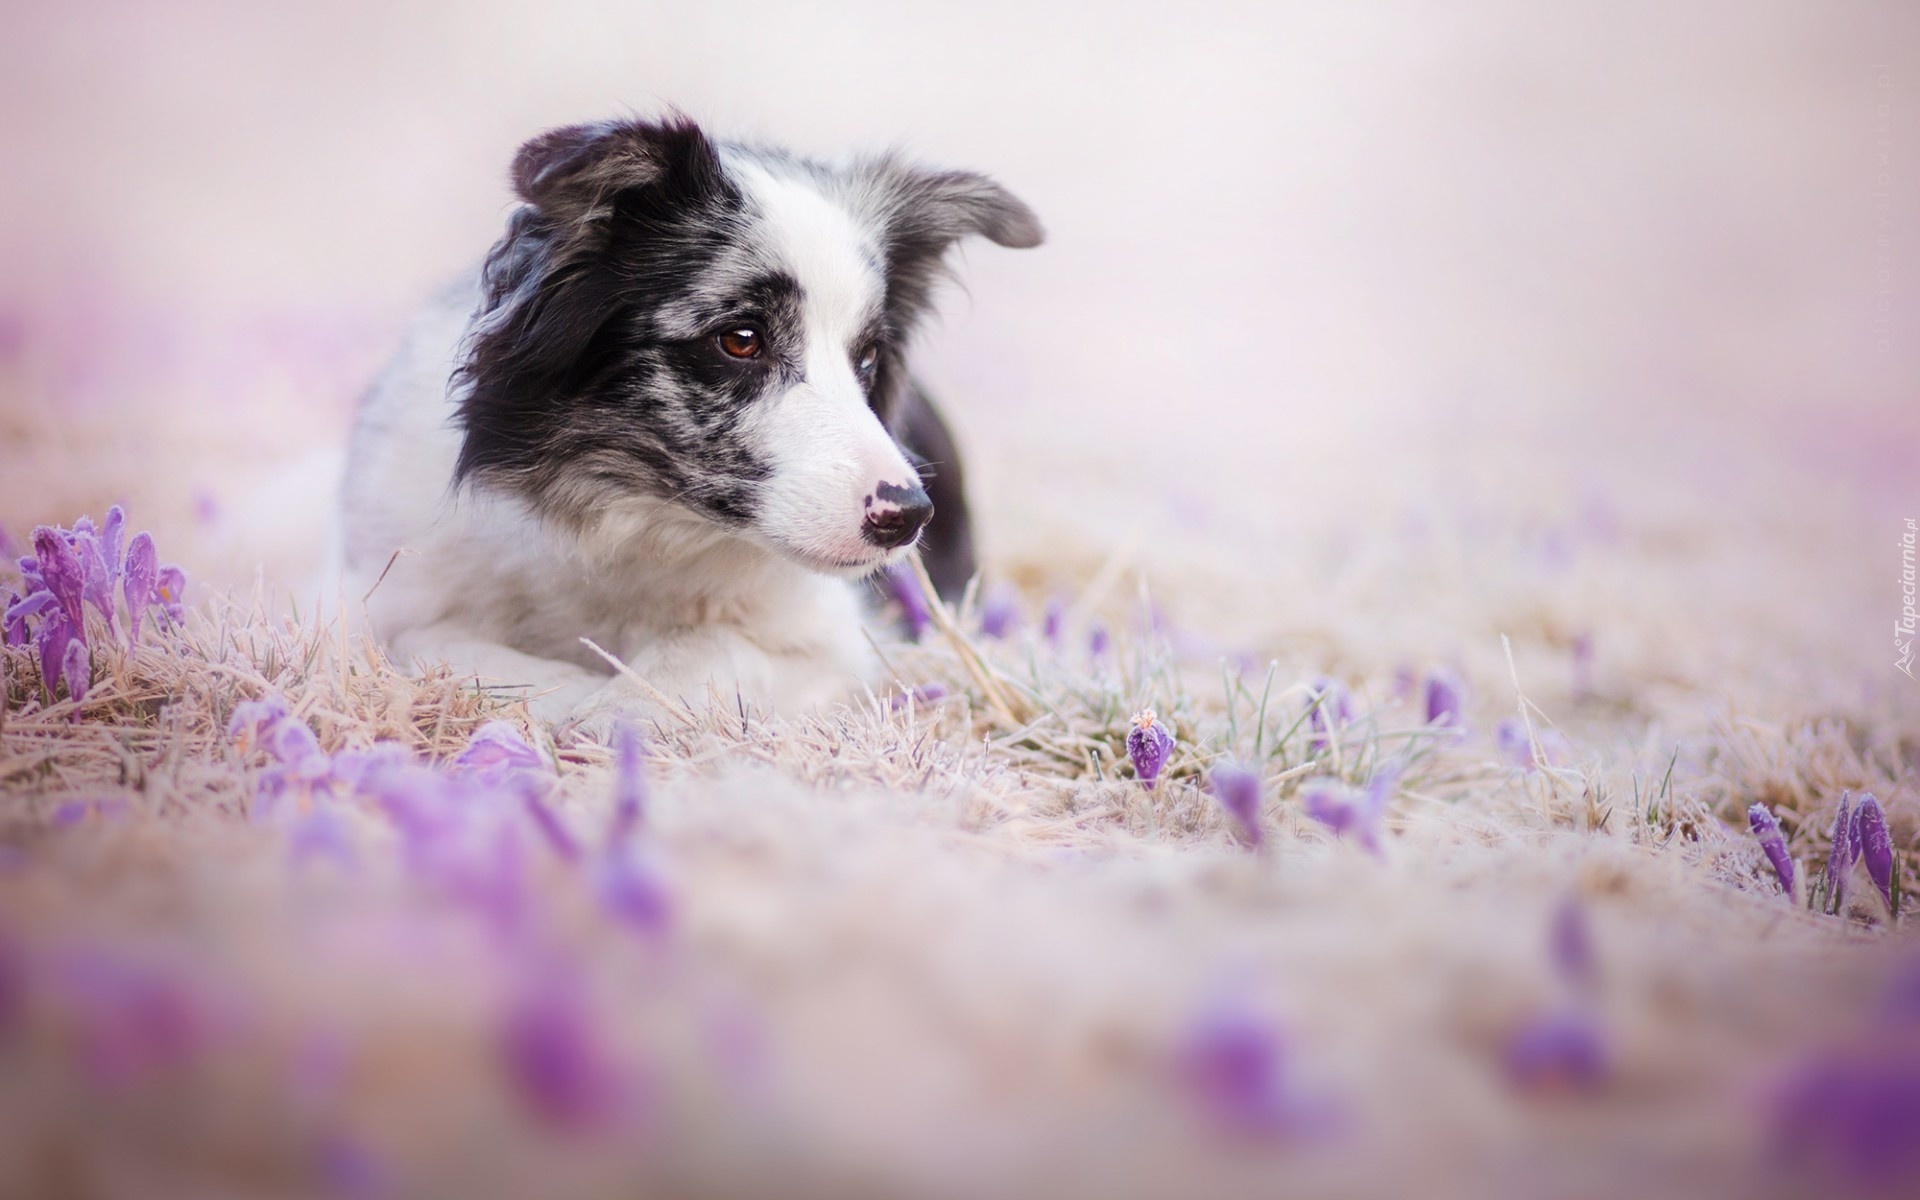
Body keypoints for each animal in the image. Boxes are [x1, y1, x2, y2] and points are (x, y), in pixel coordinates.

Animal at [337, 117, 1044, 725]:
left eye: (866, 357)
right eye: (740, 339)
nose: (907, 515)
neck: (620, 523)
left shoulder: (838, 643)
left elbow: (709, 645)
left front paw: (623, 706)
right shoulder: (373, 597)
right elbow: (433, 641)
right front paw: (572, 694)